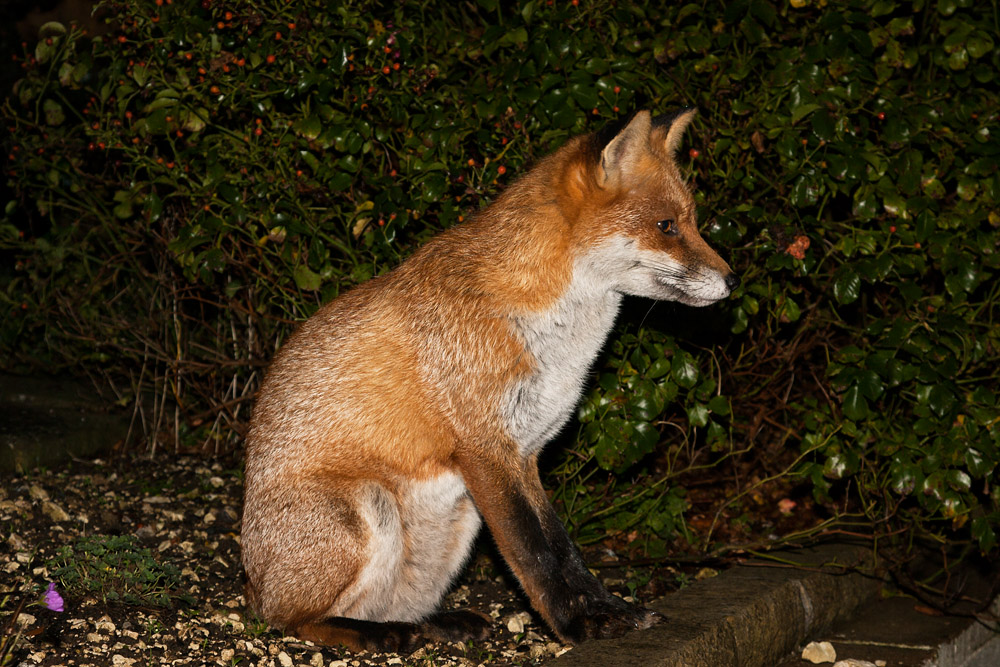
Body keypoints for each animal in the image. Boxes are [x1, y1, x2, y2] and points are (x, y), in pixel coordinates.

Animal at [241, 109, 739, 652]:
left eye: (692, 222)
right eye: (666, 227)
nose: (734, 280)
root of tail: (253, 582)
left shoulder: (526, 454)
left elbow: (565, 550)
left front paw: (610, 610)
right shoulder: (485, 450)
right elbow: (535, 554)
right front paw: (579, 626)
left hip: (460, 518)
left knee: (390, 606)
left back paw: (435, 624)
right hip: (368, 507)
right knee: (294, 619)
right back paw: (375, 634)